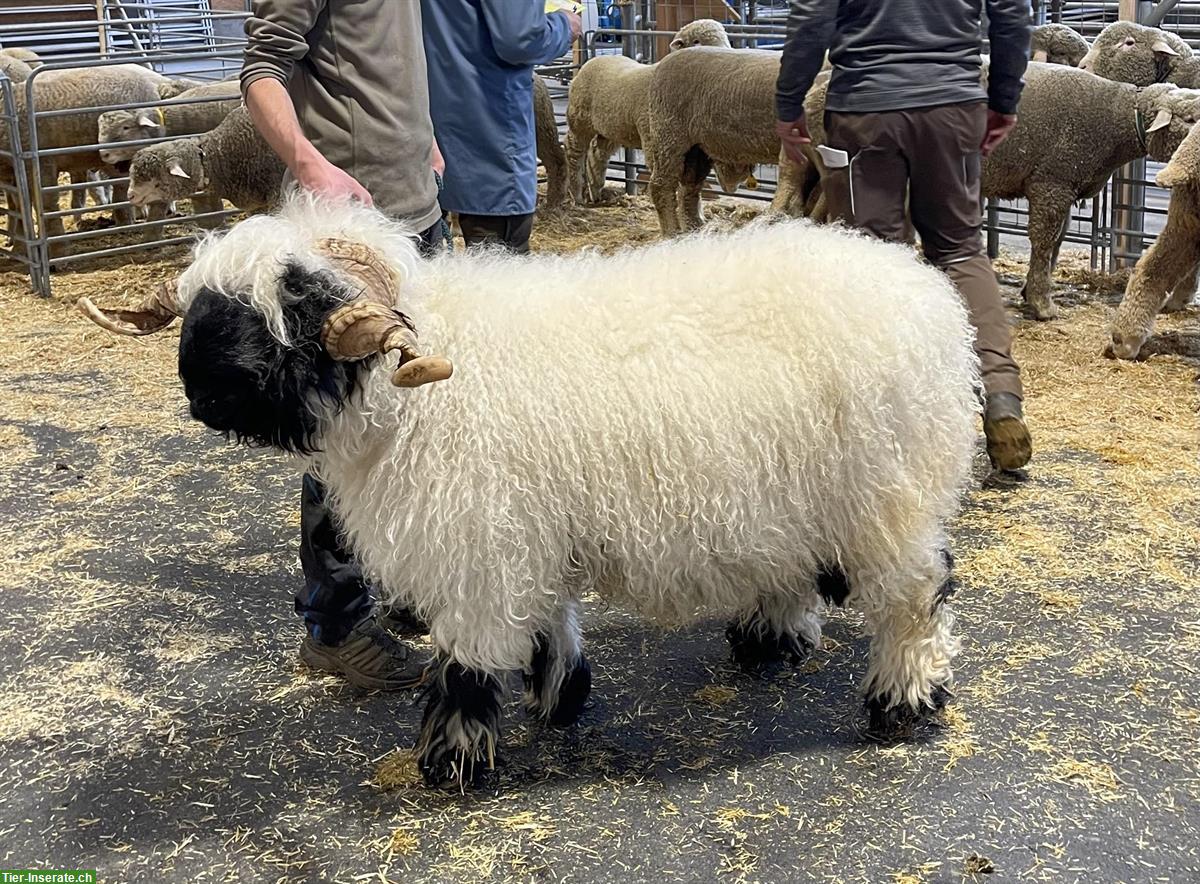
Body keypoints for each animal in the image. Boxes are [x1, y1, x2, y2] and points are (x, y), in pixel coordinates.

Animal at [82, 194, 984, 786]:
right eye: (203, 302)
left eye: (294, 307)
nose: (200, 392)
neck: (413, 390)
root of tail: (929, 296)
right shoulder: (521, 530)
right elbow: (548, 621)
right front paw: (559, 699)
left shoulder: (478, 544)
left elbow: (468, 664)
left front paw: (451, 762)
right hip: (791, 490)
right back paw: (769, 638)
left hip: (892, 491)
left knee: (919, 592)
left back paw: (905, 700)